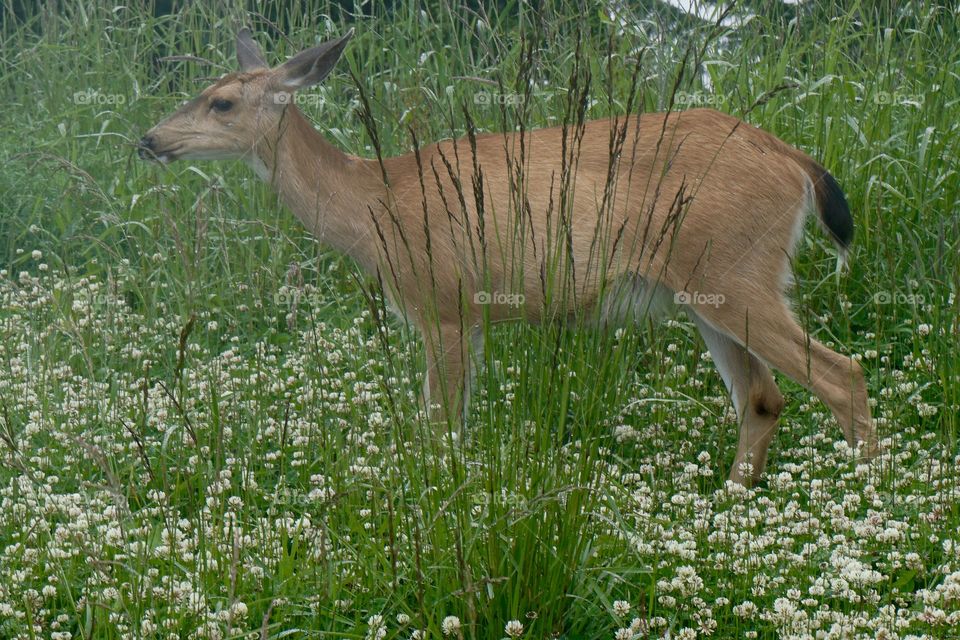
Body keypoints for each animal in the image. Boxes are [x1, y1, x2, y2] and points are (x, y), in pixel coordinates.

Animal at [139, 27, 880, 482]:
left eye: (222, 102)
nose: (149, 139)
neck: (371, 204)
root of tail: (794, 162)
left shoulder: (446, 305)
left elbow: (441, 430)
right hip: (705, 290)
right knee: (762, 397)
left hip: (736, 270)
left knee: (842, 373)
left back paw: (870, 501)